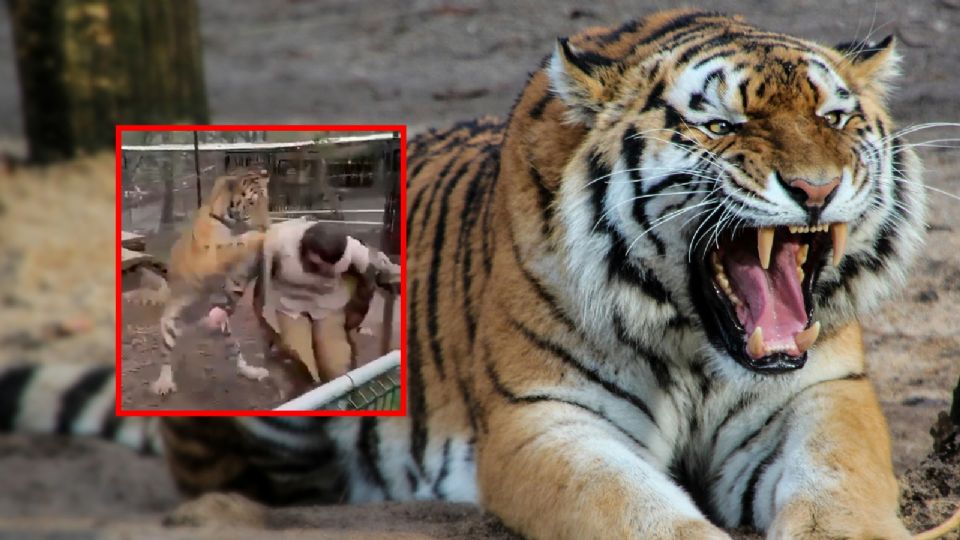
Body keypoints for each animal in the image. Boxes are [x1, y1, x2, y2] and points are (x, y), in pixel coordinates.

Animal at [3, 9, 959, 540]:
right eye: (721, 126)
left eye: (835, 118)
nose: (816, 188)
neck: (697, 340)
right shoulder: (546, 421)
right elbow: (635, 512)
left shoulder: (822, 394)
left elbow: (840, 492)